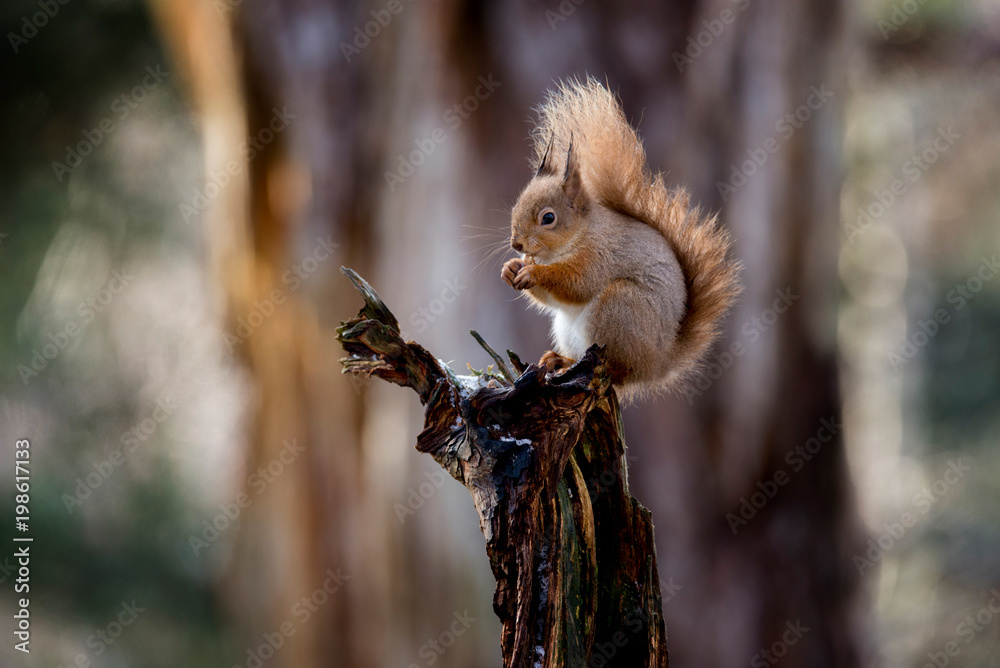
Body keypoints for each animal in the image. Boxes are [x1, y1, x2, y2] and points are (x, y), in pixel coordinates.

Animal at [501, 77, 741, 399]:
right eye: (516, 206)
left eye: (548, 218)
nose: (517, 244)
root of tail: (656, 364)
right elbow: (551, 298)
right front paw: (511, 268)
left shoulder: (600, 254)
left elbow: (577, 283)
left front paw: (534, 273)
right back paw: (559, 360)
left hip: (619, 308)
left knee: (618, 373)